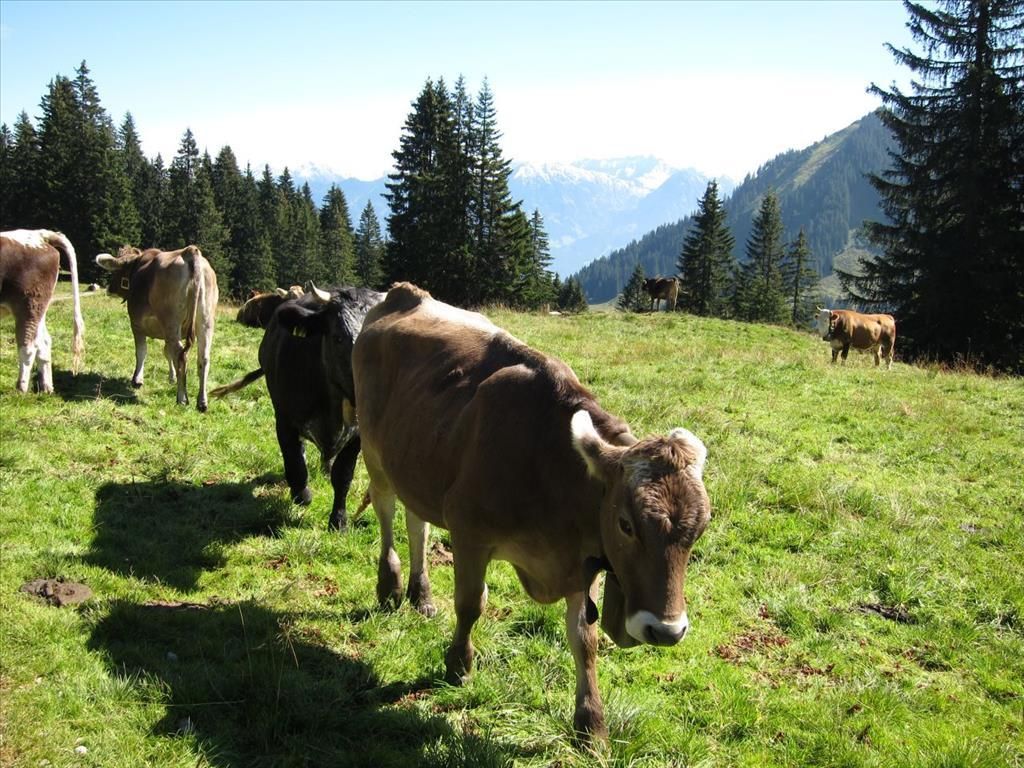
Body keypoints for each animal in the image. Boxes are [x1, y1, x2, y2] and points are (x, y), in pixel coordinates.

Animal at [0, 229, 84, 393]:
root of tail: (39, 234)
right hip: (40, 307)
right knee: (44, 342)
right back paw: (46, 387)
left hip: (29, 303)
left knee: (28, 346)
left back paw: (21, 389)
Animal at [95, 245, 218, 410]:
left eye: (116, 271)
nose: (109, 289)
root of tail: (190, 251)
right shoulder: (166, 334)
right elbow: (167, 353)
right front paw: (172, 378)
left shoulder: (136, 324)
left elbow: (141, 351)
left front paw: (137, 380)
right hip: (205, 321)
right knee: (203, 357)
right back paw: (202, 402)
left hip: (171, 321)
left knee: (180, 355)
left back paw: (182, 398)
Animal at [212, 285, 384, 530]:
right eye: (338, 337)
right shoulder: (284, 420)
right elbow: (294, 463)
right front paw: (301, 494)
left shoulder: (357, 436)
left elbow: (343, 476)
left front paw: (339, 520)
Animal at [351, 282, 711, 741]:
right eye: (626, 525)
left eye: (699, 532)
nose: (665, 631)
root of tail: (404, 293)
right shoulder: (470, 532)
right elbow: (471, 604)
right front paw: (459, 665)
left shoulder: (584, 558)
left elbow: (585, 639)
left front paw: (591, 722)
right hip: (374, 453)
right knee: (385, 512)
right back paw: (391, 585)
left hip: (416, 464)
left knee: (418, 525)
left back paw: (422, 595)